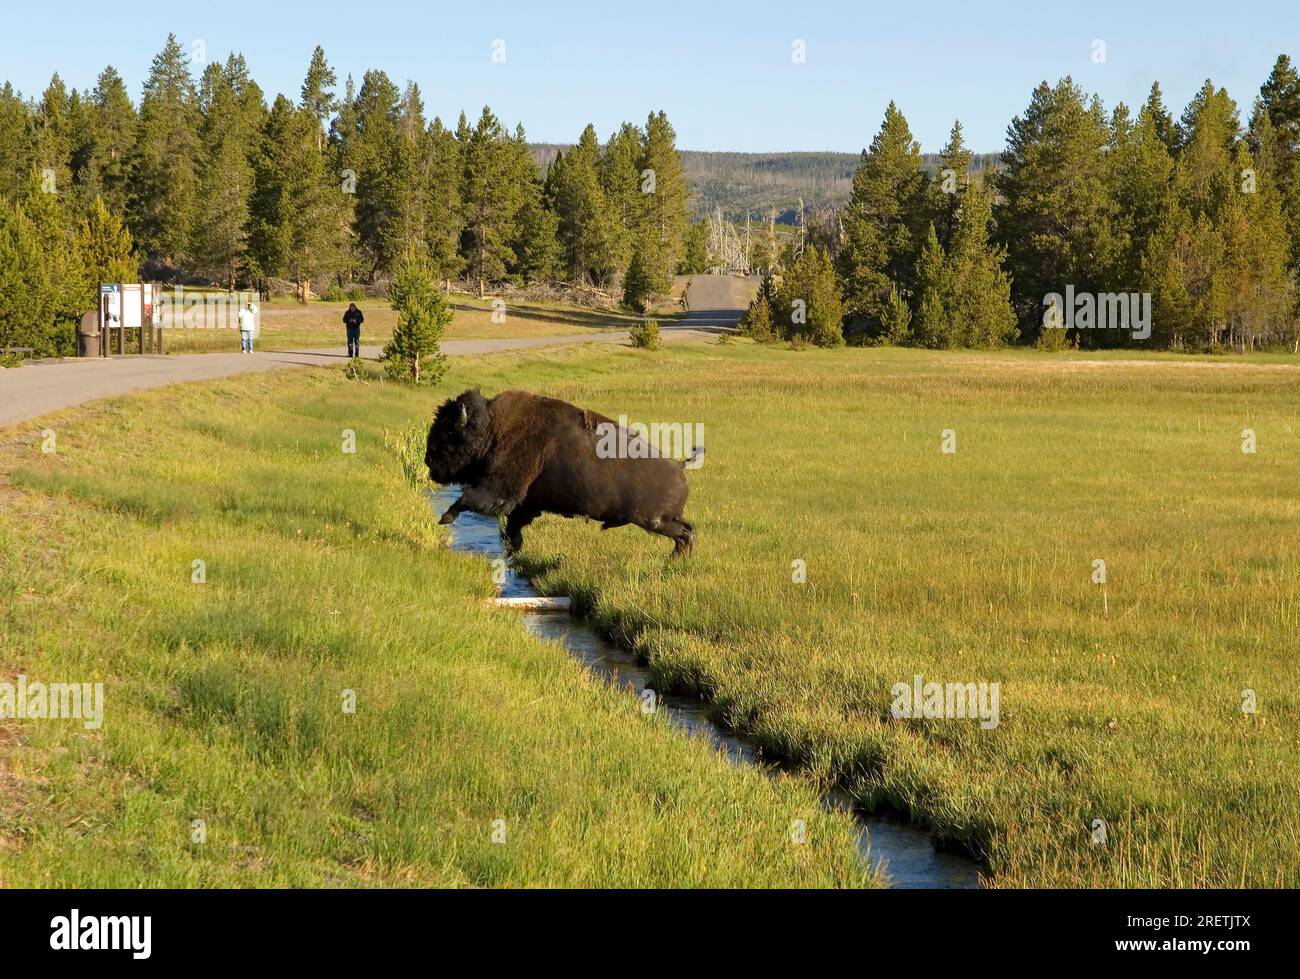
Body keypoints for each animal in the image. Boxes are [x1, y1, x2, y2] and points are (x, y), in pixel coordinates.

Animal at [425, 389, 697, 555]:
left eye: (448, 433)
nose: (428, 461)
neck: (492, 428)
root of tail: (679, 466)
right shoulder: (525, 504)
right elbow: (513, 527)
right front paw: (514, 550)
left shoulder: (499, 491)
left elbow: (469, 499)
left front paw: (444, 518)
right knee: (687, 532)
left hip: (655, 520)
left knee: (685, 533)